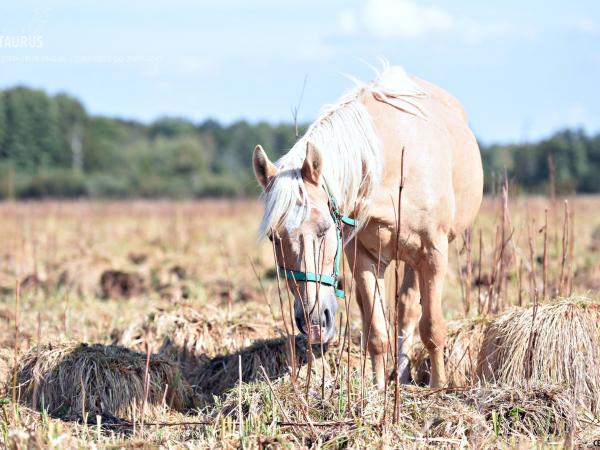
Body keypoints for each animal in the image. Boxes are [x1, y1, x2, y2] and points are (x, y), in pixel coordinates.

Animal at [252, 64, 482, 390]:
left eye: (324, 230)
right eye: (274, 238)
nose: (314, 322)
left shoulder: (434, 253)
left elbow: (432, 327)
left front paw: (438, 386)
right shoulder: (363, 259)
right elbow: (377, 332)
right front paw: (379, 389)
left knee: (410, 310)